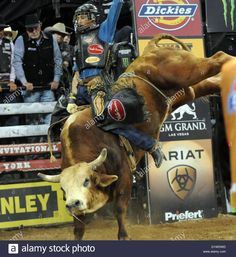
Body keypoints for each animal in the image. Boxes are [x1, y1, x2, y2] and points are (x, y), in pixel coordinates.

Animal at [37, 33, 235, 238]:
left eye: (86, 181)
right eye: (63, 188)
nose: (73, 203)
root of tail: (150, 49)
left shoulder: (124, 178)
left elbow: (119, 210)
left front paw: (123, 235)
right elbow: (79, 227)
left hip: (183, 71)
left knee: (218, 57)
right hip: (181, 92)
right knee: (206, 84)